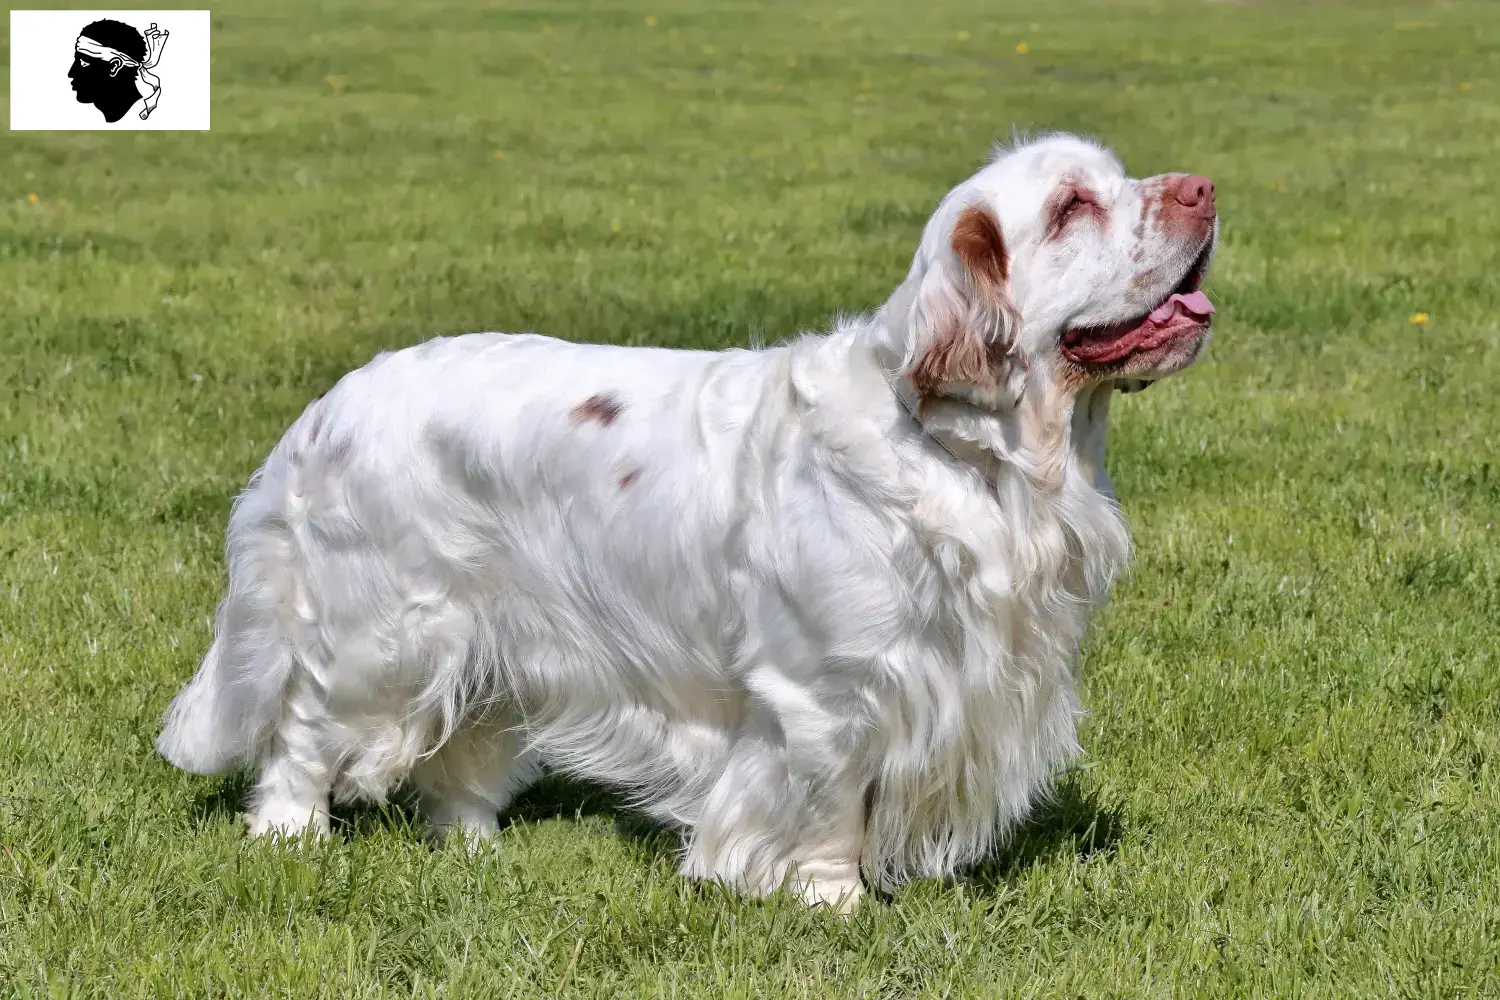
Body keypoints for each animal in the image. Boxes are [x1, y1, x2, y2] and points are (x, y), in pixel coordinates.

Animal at [158, 134, 1218, 917]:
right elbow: (832, 804)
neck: (971, 455)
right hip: (383, 631)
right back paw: (289, 831)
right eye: (1073, 207)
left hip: (498, 635)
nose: (1205, 189)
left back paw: (472, 845)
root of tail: (328, 406)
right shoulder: (825, 691)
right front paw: (833, 903)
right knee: (304, 726)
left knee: (462, 746)